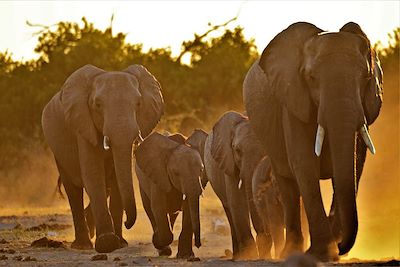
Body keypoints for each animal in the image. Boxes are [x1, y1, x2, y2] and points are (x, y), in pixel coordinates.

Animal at [41, 63, 164, 253]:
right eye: (98, 105)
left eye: (138, 104)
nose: (128, 223)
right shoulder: (82, 124)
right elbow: (93, 173)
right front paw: (107, 243)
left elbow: (116, 180)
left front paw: (120, 243)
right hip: (58, 150)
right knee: (73, 191)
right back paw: (82, 245)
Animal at [242, 22, 382, 262]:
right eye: (311, 78)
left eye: (366, 77)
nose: (341, 247)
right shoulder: (292, 101)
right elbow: (304, 162)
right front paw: (322, 253)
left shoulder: (364, 105)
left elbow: (354, 164)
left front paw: (332, 249)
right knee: (287, 182)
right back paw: (290, 251)